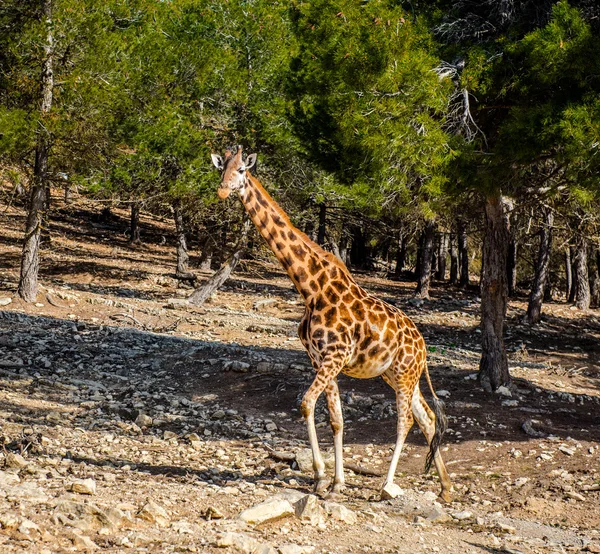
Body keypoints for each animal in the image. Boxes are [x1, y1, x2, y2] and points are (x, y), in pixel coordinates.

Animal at [211, 144, 450, 498]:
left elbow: (307, 404)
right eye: (221, 168)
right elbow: (336, 419)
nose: (223, 190)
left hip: (405, 375)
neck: (310, 288)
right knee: (428, 417)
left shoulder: (334, 356)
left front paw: (321, 476)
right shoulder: (320, 358)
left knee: (405, 420)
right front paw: (336, 481)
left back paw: (387, 485)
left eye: (241, 170)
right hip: (397, 375)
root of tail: (422, 346)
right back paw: (446, 486)